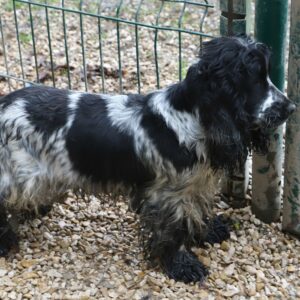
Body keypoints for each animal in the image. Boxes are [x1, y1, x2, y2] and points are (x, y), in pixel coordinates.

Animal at [0, 35, 296, 284]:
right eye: (254, 79)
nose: (291, 107)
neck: (190, 118)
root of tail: (4, 104)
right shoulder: (167, 196)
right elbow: (173, 232)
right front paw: (182, 266)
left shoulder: (194, 186)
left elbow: (196, 213)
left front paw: (208, 232)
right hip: (15, 175)